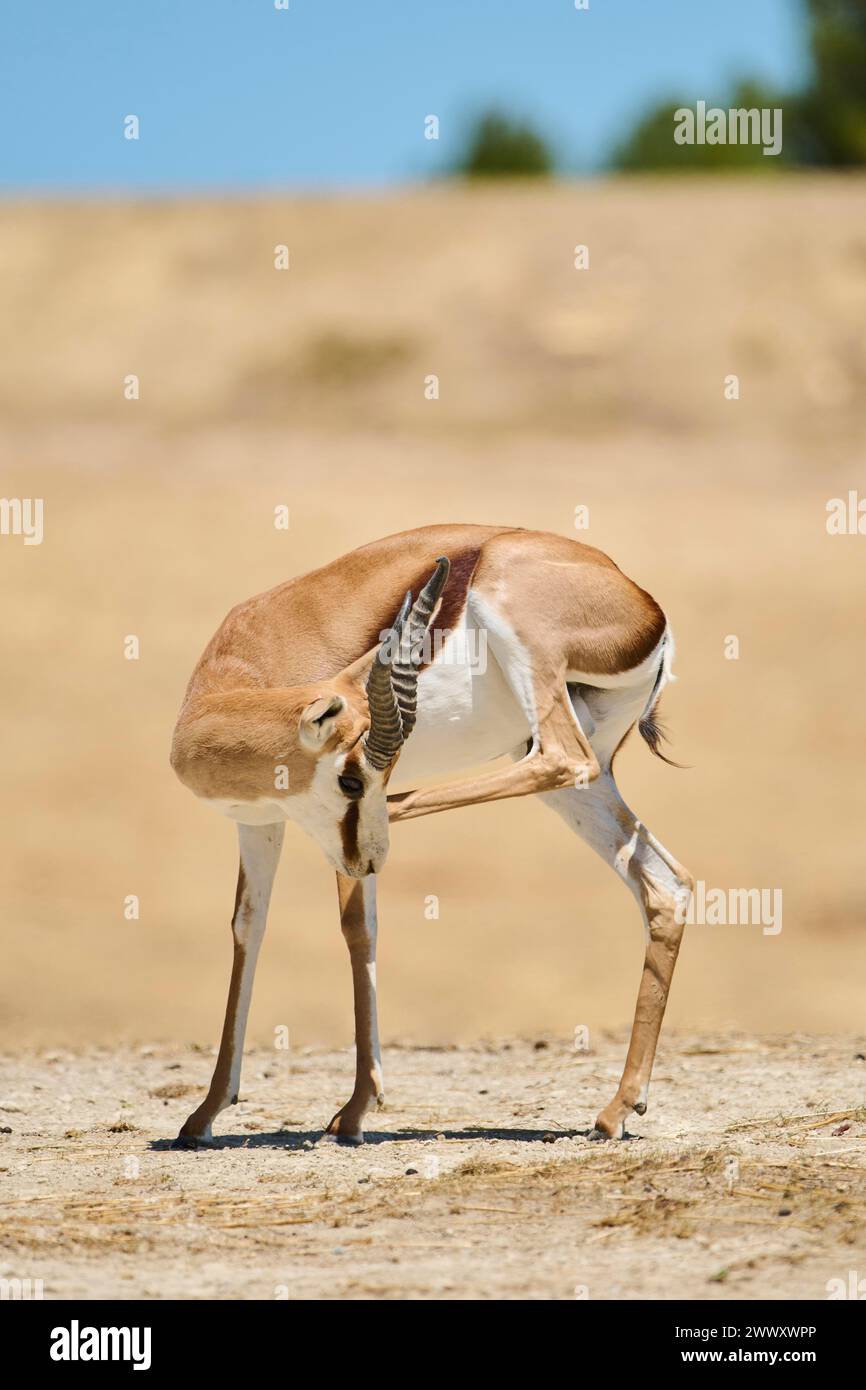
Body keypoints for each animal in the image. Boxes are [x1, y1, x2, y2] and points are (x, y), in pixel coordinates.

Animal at [173, 525, 695, 1145]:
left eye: (360, 778)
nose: (374, 857)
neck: (247, 663)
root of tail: (646, 607)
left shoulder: (333, 842)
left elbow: (357, 929)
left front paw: (354, 1111)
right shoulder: (258, 823)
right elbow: (248, 929)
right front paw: (205, 1113)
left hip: (533, 681)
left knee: (564, 759)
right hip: (573, 777)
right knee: (666, 883)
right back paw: (617, 1109)